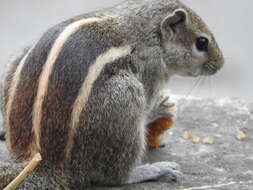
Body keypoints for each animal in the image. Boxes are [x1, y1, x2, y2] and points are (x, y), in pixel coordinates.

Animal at [1, 0, 223, 188]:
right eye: (202, 42)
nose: (221, 63)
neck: (148, 30)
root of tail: (44, 163)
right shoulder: (150, 70)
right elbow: (148, 107)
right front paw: (159, 108)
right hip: (124, 100)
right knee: (115, 176)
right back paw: (151, 171)